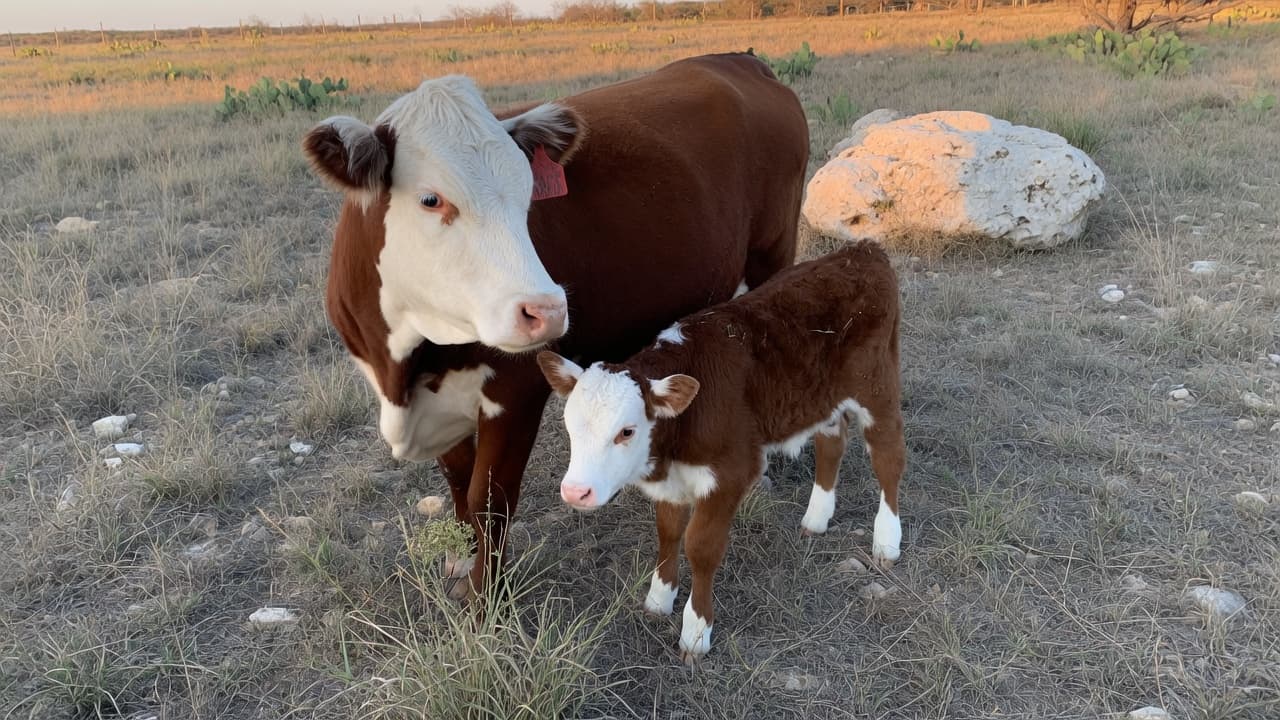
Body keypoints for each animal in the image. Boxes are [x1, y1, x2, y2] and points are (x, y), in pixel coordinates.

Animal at [301, 53, 809, 595]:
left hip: (773, 251)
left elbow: (488, 498)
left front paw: (486, 598)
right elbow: (458, 479)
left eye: (528, 194)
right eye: (431, 199)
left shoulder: (516, 391)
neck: (404, 369)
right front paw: (462, 558)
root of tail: (739, 60)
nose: (547, 310)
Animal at [536, 240, 905, 663]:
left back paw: (887, 541)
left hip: (877, 388)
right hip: (821, 397)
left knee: (889, 457)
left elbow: (700, 546)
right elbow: (667, 532)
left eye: (627, 431)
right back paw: (816, 518)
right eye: (570, 425)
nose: (575, 492)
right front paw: (659, 598)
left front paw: (696, 631)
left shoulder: (730, 473)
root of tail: (861, 250)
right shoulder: (673, 481)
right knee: (832, 443)